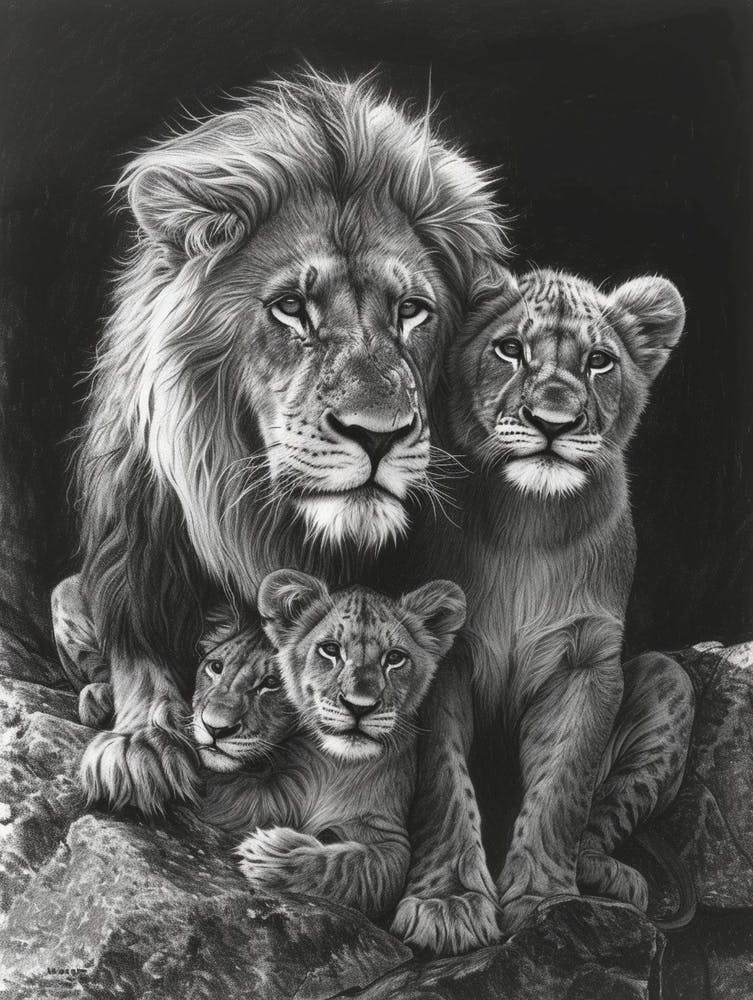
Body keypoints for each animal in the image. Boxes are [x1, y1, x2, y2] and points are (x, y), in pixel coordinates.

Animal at [391, 266, 695, 943]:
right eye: (510, 349)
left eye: (599, 361)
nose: (554, 421)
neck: (528, 523)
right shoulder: (438, 656)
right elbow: (443, 783)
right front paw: (448, 903)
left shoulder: (586, 664)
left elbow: (563, 789)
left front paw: (547, 901)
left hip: (670, 677)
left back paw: (609, 877)